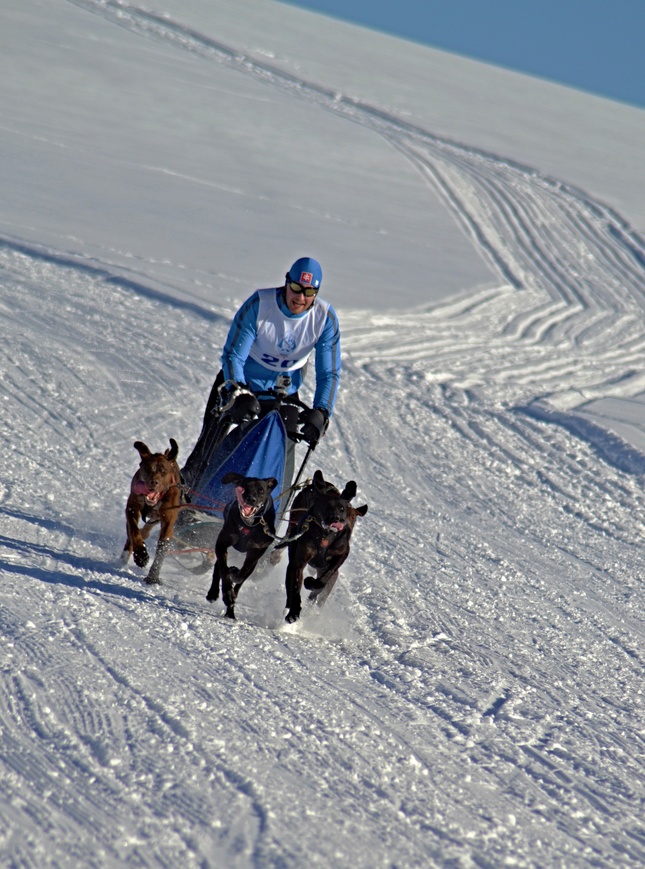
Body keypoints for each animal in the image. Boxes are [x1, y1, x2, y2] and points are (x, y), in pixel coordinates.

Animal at [121, 440, 180, 584]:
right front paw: (141, 555)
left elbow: (161, 549)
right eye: (148, 468)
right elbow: (134, 531)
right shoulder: (132, 508)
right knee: (132, 535)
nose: (154, 482)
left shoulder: (168, 523)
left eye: (163, 471)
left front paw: (153, 577)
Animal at [206, 468, 276, 616]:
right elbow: (223, 571)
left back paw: (230, 612)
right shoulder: (222, 544)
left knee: (240, 580)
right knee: (218, 567)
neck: (248, 526)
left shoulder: (256, 552)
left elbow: (242, 574)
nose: (250, 499)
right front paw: (227, 593)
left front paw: (235, 575)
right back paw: (214, 593)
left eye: (261, 491)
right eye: (244, 487)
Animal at [284, 472, 368, 620]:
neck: (325, 536)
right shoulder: (299, 562)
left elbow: (323, 579)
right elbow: (295, 587)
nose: (337, 519)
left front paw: (310, 583)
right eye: (326, 505)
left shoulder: (340, 556)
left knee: (320, 593)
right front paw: (294, 611)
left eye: (342, 509)